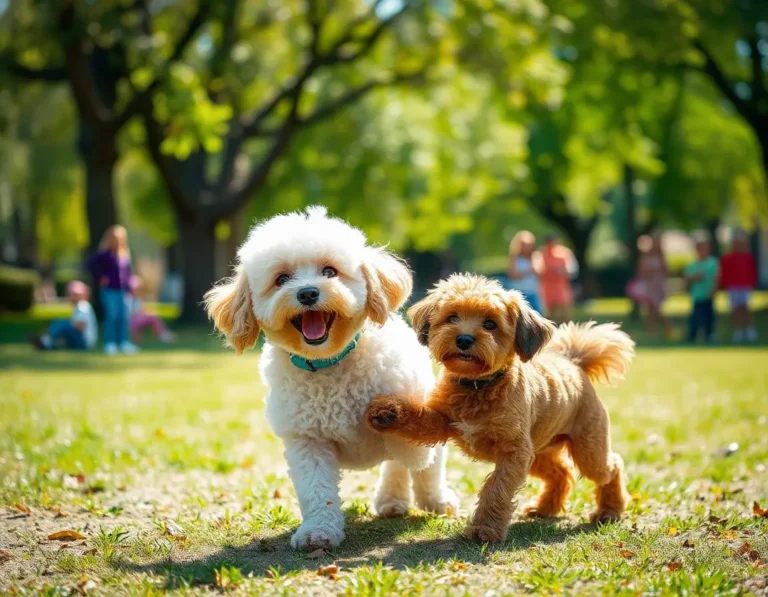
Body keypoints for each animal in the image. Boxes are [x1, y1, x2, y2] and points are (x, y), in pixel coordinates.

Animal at [204, 206, 456, 548]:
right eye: (281, 278)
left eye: (330, 271)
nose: (308, 293)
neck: (329, 363)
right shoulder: (307, 440)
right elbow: (316, 490)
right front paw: (318, 531)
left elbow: (414, 449)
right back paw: (392, 500)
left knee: (422, 468)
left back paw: (435, 500)